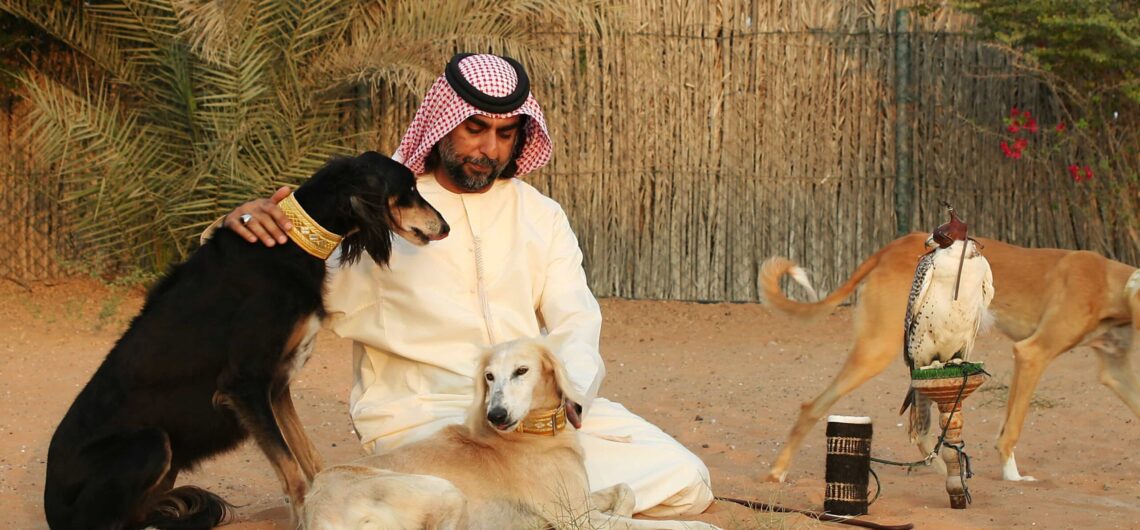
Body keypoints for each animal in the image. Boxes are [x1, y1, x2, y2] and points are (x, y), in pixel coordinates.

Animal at [41, 150, 449, 526]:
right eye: (409, 190)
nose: (444, 227)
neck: (289, 245)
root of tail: (49, 502)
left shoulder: (277, 385)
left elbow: (311, 461)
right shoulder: (245, 385)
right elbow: (293, 477)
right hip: (149, 445)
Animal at [298, 339, 715, 528]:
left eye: (521, 371)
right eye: (488, 377)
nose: (496, 416)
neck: (536, 434)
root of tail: (313, 511)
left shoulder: (578, 504)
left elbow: (626, 491)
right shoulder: (578, 520)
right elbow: (680, 525)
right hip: (444, 491)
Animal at [756, 233, 1140, 480]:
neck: (1108, 282)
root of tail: (889, 248)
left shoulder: (1116, 372)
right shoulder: (1033, 354)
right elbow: (1012, 428)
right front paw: (1012, 474)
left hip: (924, 355)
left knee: (919, 429)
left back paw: (943, 469)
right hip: (879, 349)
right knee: (814, 406)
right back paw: (778, 471)